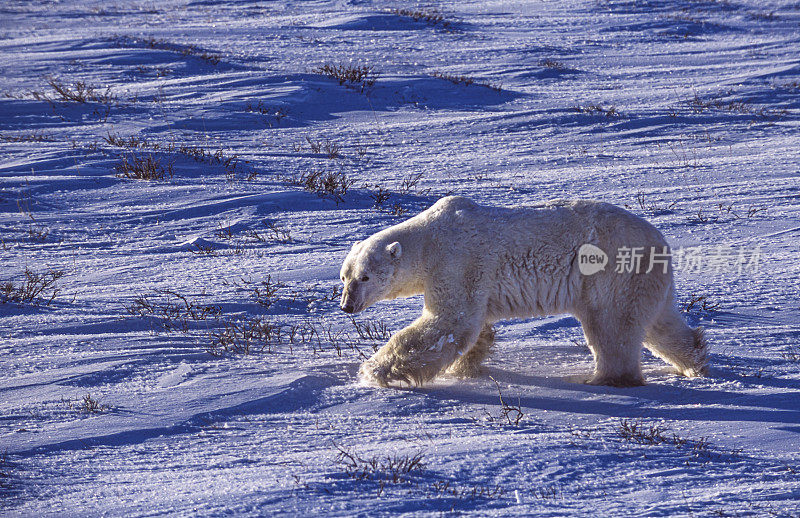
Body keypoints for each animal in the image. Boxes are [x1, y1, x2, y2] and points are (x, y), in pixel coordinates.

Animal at [338, 197, 708, 388]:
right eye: (344, 277)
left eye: (365, 277)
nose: (346, 306)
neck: (430, 238)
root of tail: (658, 239)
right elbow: (475, 328)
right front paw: (466, 368)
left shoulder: (458, 262)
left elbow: (448, 323)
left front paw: (374, 371)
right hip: (644, 278)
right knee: (660, 322)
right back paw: (695, 360)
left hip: (611, 273)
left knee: (612, 325)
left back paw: (606, 379)